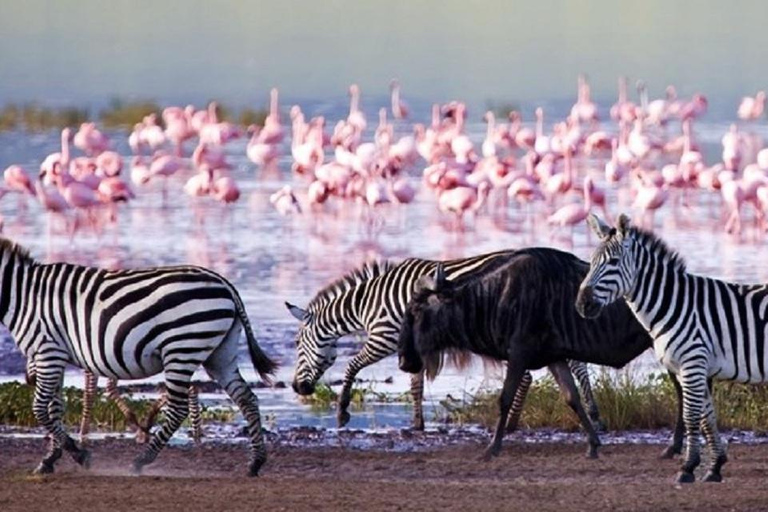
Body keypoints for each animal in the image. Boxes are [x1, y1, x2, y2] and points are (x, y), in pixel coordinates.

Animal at [0, 237, 276, 476]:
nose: (27, 377)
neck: (22, 295)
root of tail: (225, 284)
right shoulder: (53, 354)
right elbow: (54, 407)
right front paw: (50, 459)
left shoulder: (47, 352)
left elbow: (40, 408)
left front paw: (78, 455)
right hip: (220, 354)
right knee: (247, 399)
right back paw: (255, 463)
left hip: (181, 349)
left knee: (178, 409)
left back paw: (141, 460)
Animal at [284, 250, 604, 430]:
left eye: (298, 345)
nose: (297, 388)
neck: (368, 303)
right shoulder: (412, 345)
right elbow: (416, 386)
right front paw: (417, 424)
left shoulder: (384, 337)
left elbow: (352, 367)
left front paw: (341, 413)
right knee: (574, 366)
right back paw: (593, 414)